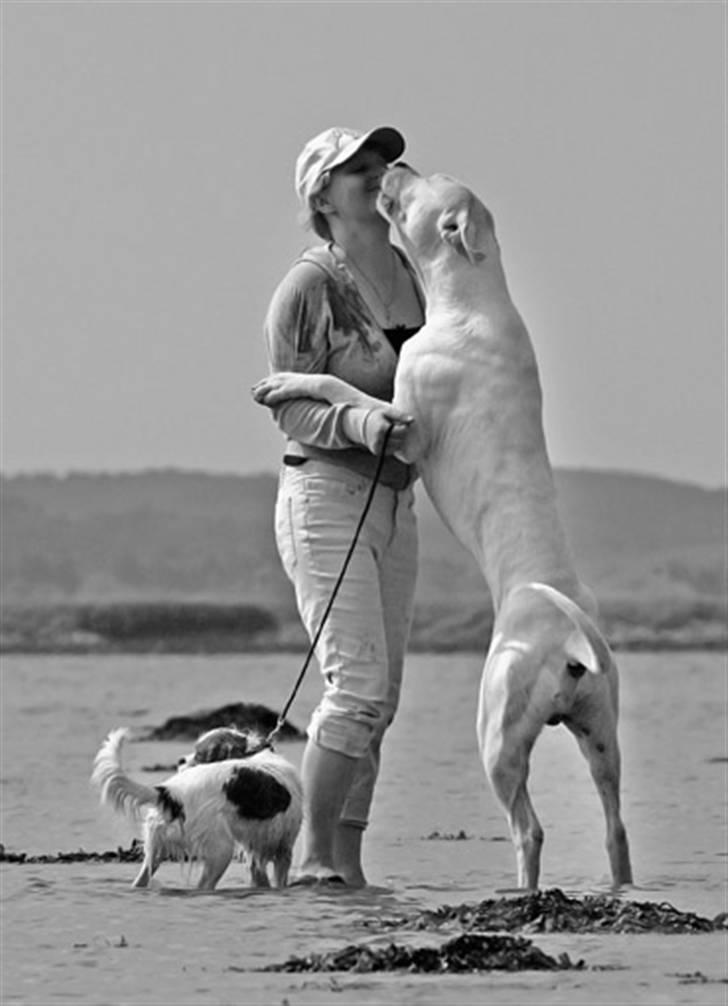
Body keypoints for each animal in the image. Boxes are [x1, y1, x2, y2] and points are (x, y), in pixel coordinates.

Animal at [91, 724, 301, 889]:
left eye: (200, 753)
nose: (180, 760)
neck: (253, 754)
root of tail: (171, 792)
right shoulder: (284, 849)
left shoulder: (255, 853)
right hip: (220, 851)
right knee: (203, 887)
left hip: (156, 851)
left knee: (140, 881)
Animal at [254, 162, 631, 889]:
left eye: (428, 182)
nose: (394, 165)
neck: (472, 298)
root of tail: (566, 630)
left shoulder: (404, 422)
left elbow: (348, 394)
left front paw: (285, 381)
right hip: (602, 732)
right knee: (615, 825)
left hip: (499, 733)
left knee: (528, 828)